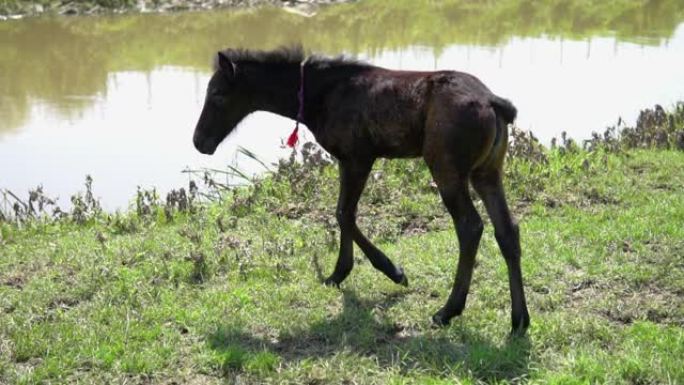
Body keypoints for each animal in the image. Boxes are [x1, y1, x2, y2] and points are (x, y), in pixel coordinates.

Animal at [191, 46, 528, 334]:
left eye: (217, 93)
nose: (199, 141)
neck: (316, 99)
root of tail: (495, 104)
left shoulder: (358, 156)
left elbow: (344, 213)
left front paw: (393, 271)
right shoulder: (346, 159)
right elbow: (344, 213)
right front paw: (338, 273)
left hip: (448, 170)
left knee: (470, 227)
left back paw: (448, 311)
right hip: (487, 172)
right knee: (507, 229)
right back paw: (519, 321)